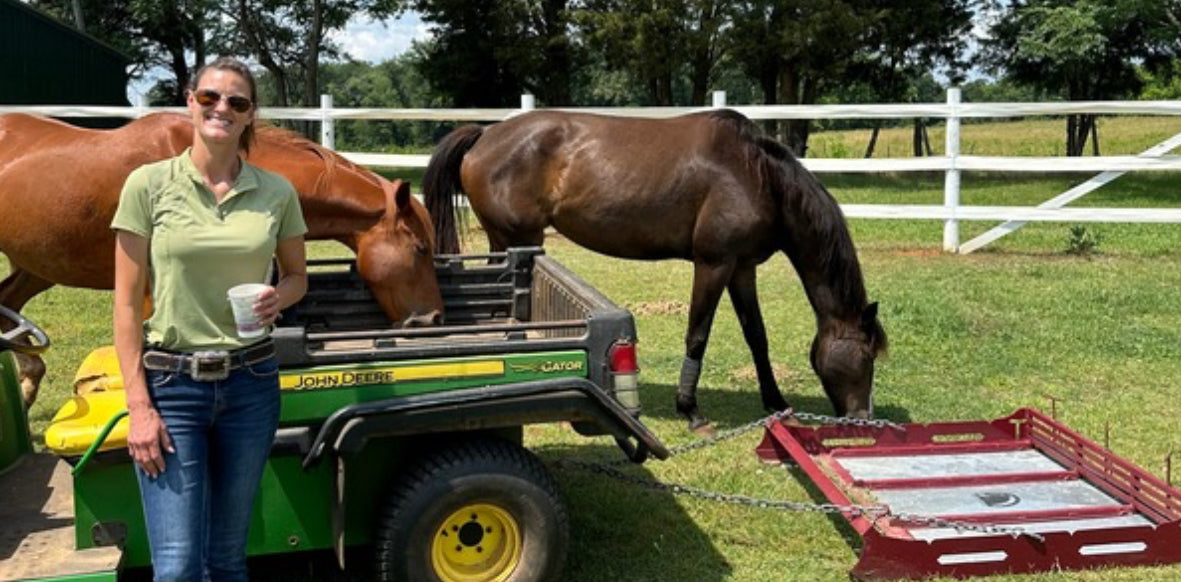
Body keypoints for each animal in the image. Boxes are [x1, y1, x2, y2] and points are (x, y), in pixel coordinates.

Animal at [423, 109, 887, 433]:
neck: (758, 175)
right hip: (515, 237)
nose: (863, 418)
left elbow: (757, 335)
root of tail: (485, 134)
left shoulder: (741, 269)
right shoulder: (713, 264)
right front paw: (691, 410)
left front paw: (775, 401)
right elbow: (698, 334)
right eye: (866, 357)